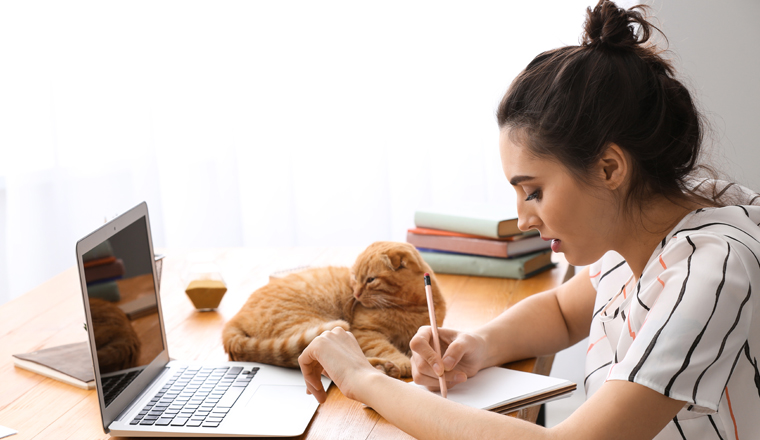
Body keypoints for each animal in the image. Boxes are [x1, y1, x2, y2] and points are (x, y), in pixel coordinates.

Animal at [221, 241, 446, 378]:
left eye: (370, 280)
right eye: (354, 277)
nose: (356, 294)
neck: (411, 306)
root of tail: (236, 316)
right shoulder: (366, 332)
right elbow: (385, 348)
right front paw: (405, 362)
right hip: (318, 329)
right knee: (330, 364)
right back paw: (385, 367)